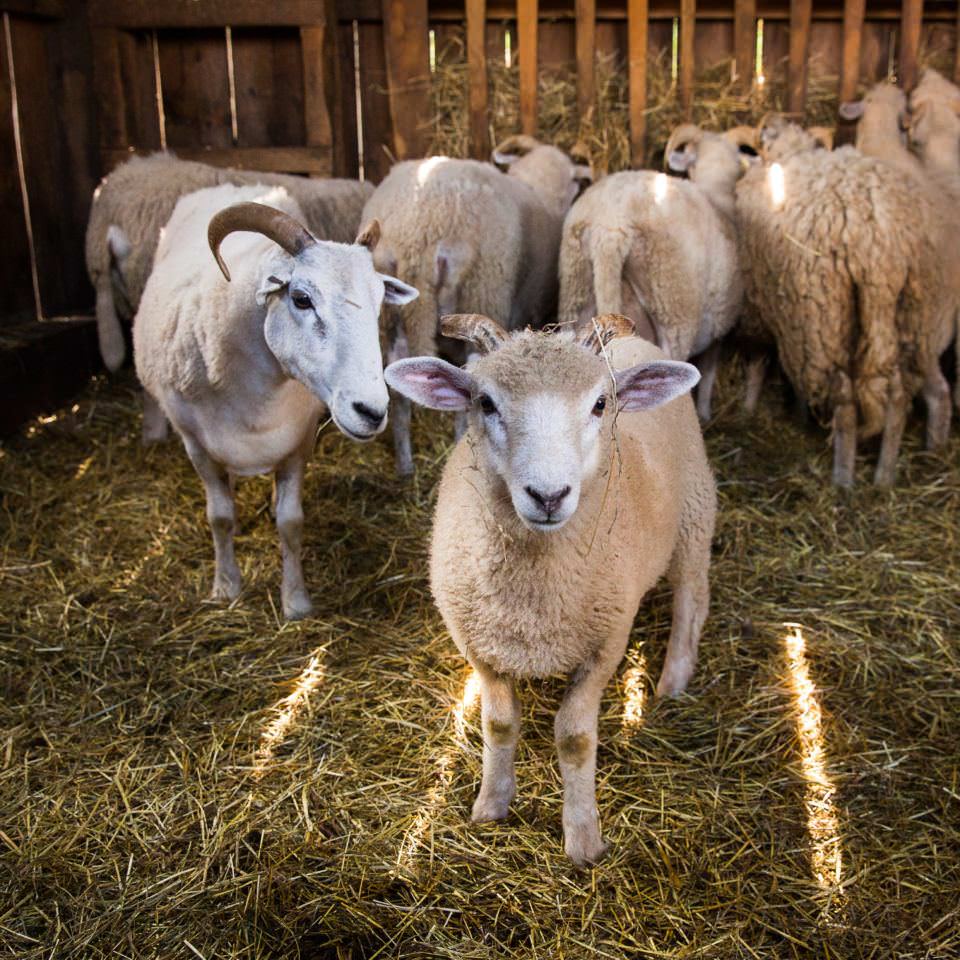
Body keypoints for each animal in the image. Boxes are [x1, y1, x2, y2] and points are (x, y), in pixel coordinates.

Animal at [133, 183, 417, 619]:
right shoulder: (195, 444)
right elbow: (219, 517)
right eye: (300, 298)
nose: (371, 412)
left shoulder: (298, 443)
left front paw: (296, 602)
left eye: (379, 301)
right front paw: (226, 587)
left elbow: (290, 523)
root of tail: (232, 184)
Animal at [360, 136, 591, 476]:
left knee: (395, 383)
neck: (540, 186)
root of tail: (418, 229)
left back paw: (405, 466)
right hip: (483, 290)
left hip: (389, 316)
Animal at [384, 311, 715, 867]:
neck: (535, 597)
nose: (548, 495)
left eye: (600, 404)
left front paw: (584, 840)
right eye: (485, 403)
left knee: (692, 600)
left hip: (694, 514)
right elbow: (498, 725)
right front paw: (491, 806)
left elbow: (575, 738)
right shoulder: (479, 645)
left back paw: (672, 685)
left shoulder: (606, 643)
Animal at [558, 123, 746, 421]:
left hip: (575, 289)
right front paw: (705, 413)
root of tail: (610, 227)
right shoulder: (720, 327)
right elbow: (709, 372)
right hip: (673, 303)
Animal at [735, 116, 953, 487]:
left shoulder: (763, 307)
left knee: (848, 406)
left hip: (824, 321)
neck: (790, 152)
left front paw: (750, 409)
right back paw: (897, 469)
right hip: (918, 316)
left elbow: (757, 364)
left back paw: (844, 479)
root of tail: (881, 246)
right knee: (916, 392)